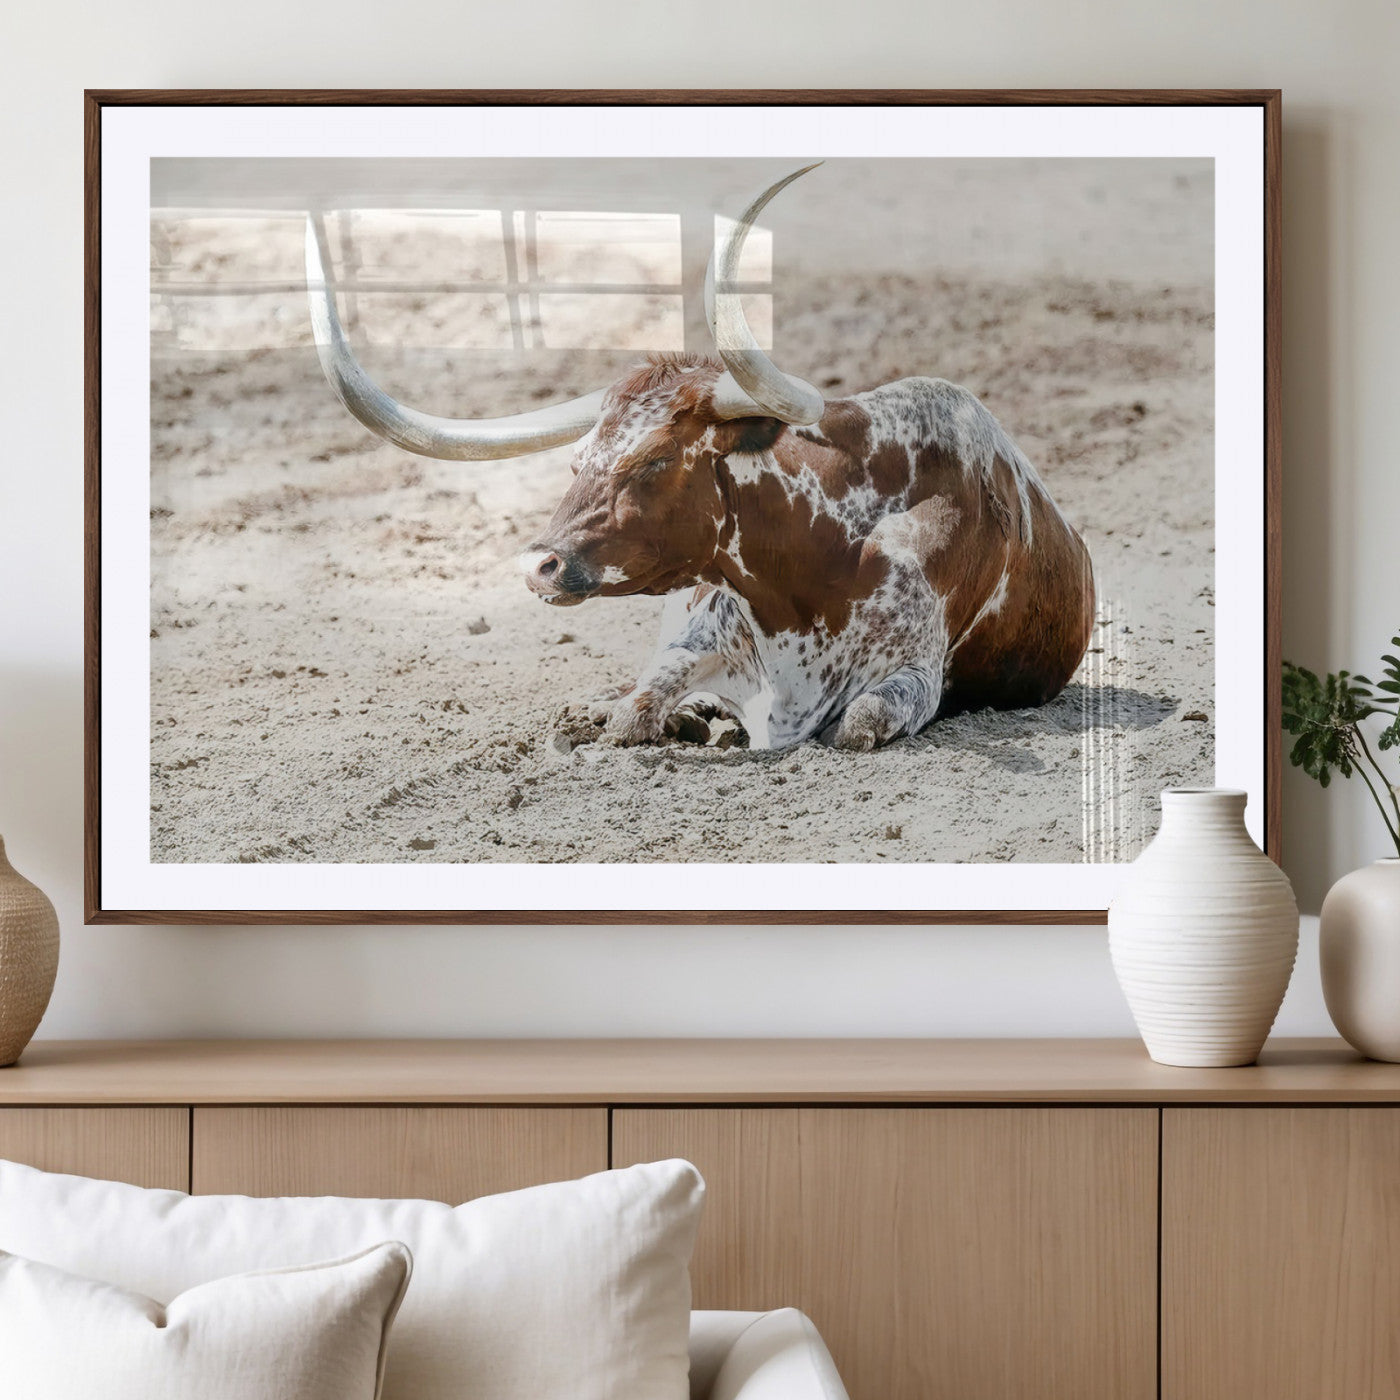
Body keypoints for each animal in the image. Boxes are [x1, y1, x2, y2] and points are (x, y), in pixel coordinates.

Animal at [305, 166, 1095, 752]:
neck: (815, 568)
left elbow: (856, 724)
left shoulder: (913, 677)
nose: (540, 567)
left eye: (654, 462)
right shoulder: (694, 635)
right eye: (577, 462)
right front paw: (663, 717)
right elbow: (635, 709)